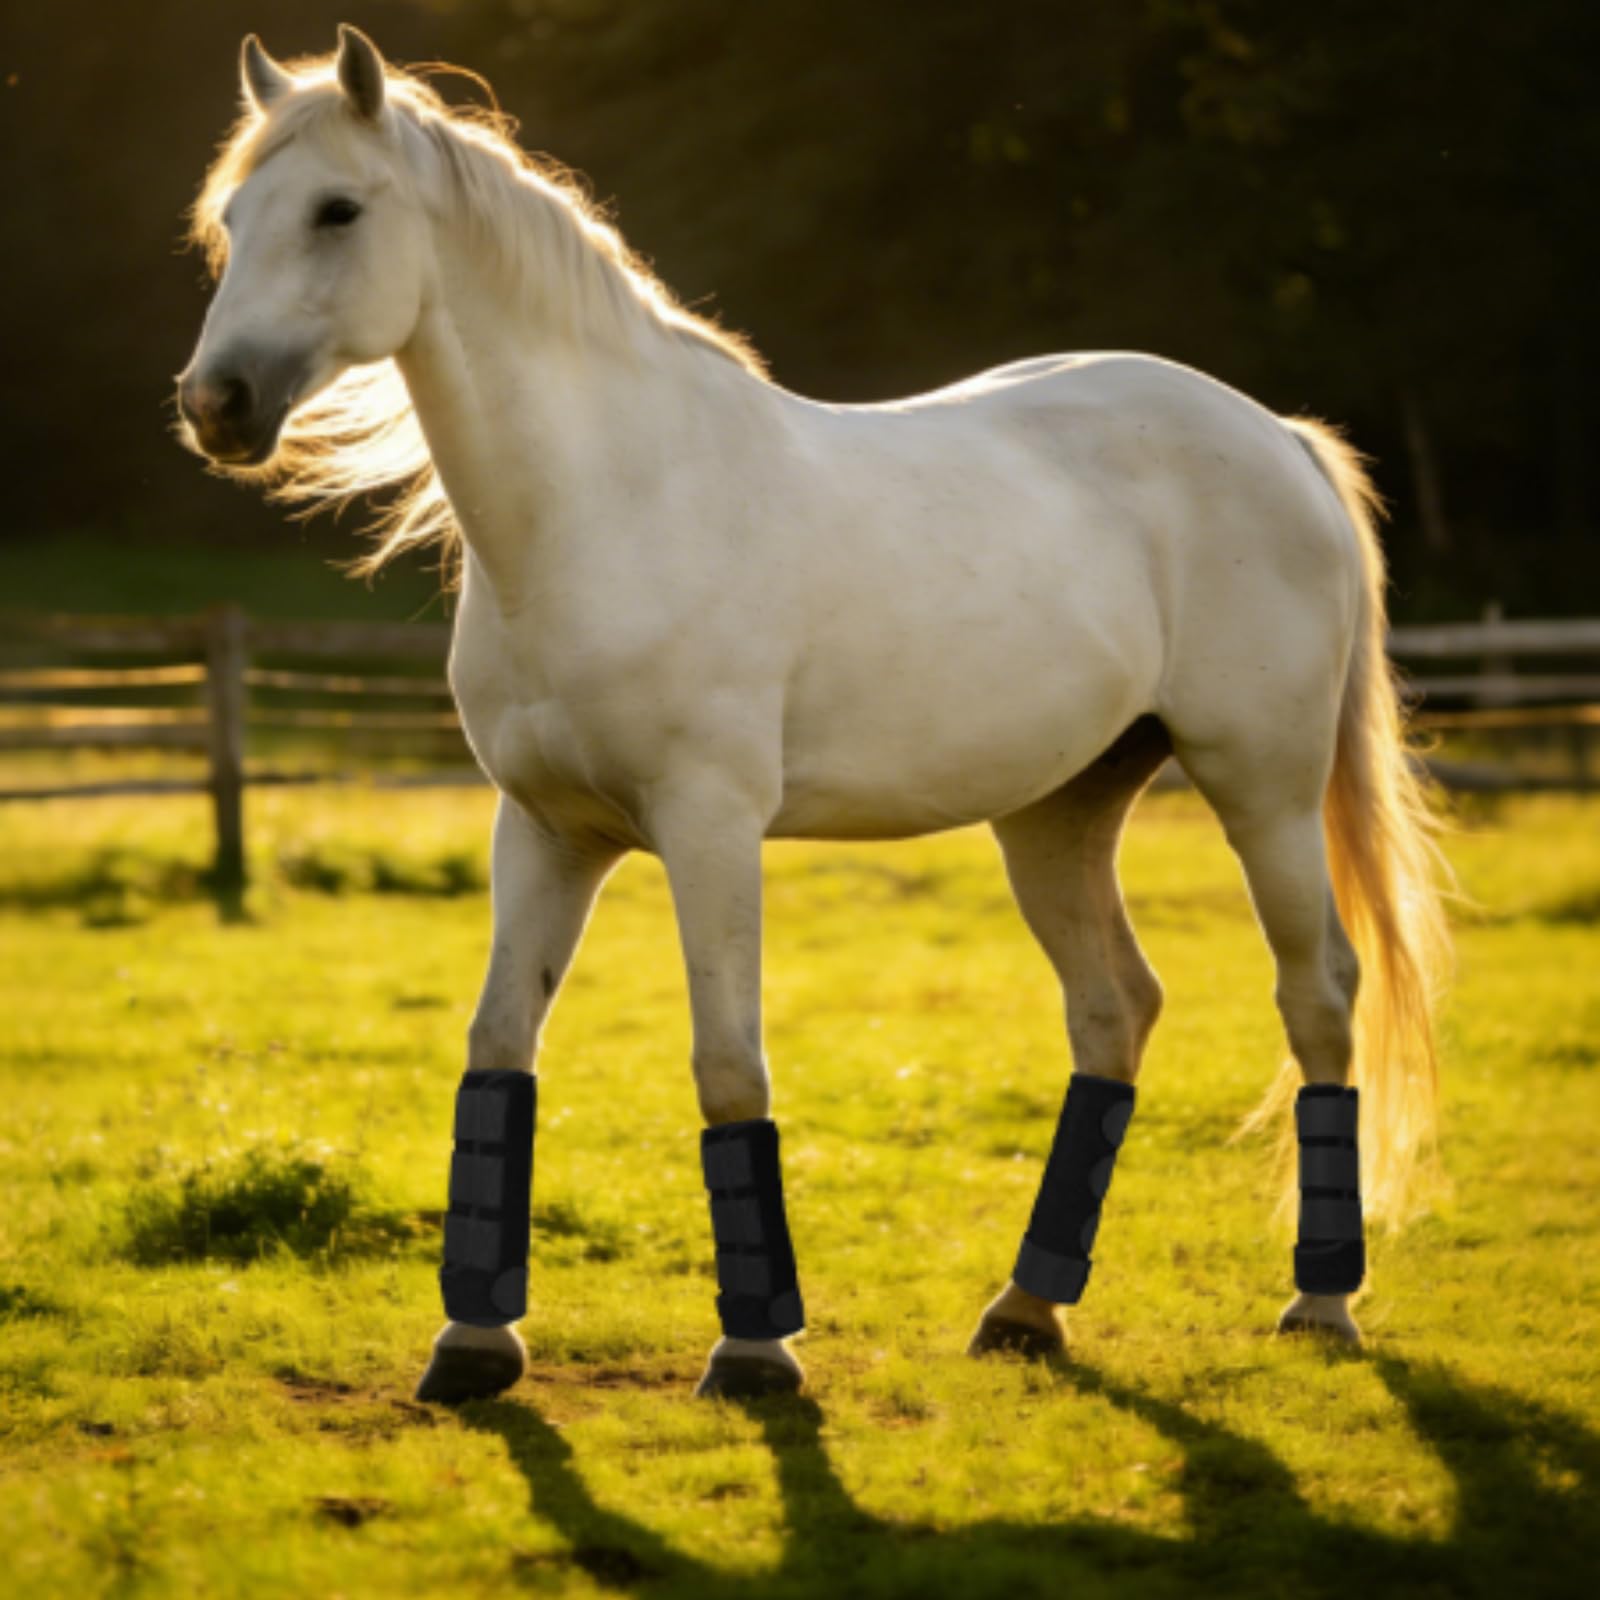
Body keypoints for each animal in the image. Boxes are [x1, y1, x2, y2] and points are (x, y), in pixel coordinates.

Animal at [177, 26, 1449, 1403]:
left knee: (1318, 993)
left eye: (338, 209)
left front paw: (754, 1348)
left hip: (1260, 786)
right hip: (1056, 815)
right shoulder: (545, 831)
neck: (609, 501)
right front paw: (472, 1342)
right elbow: (500, 1043)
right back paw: (1025, 1309)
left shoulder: (710, 826)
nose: (216, 404)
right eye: (232, 220)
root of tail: (1275, 433)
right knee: (1115, 1007)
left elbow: (729, 1063)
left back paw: (1320, 1304)